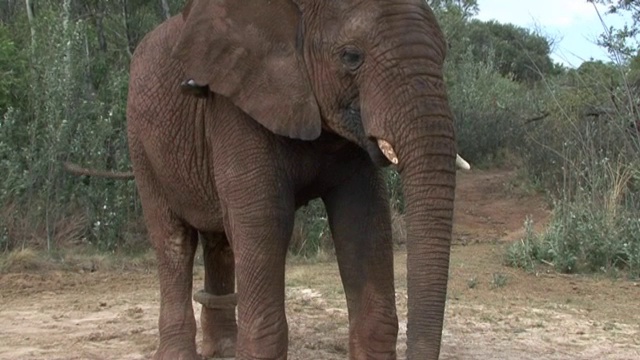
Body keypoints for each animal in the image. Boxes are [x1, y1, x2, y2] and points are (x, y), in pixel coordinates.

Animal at [91, 0, 460, 358]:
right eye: (351, 57)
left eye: (444, 54)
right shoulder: (236, 103)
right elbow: (264, 221)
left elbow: (363, 221)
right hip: (141, 143)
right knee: (174, 240)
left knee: (220, 240)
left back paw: (224, 349)